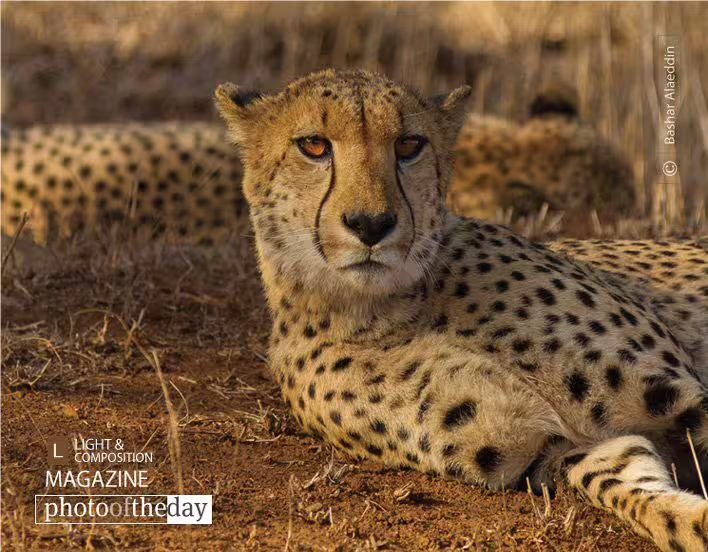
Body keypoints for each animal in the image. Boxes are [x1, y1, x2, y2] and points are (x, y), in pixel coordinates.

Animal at [212, 68, 708, 552]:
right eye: (313, 145)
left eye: (409, 145)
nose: (371, 225)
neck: (393, 308)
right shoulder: (557, 448)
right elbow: (638, 493)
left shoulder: (675, 395)